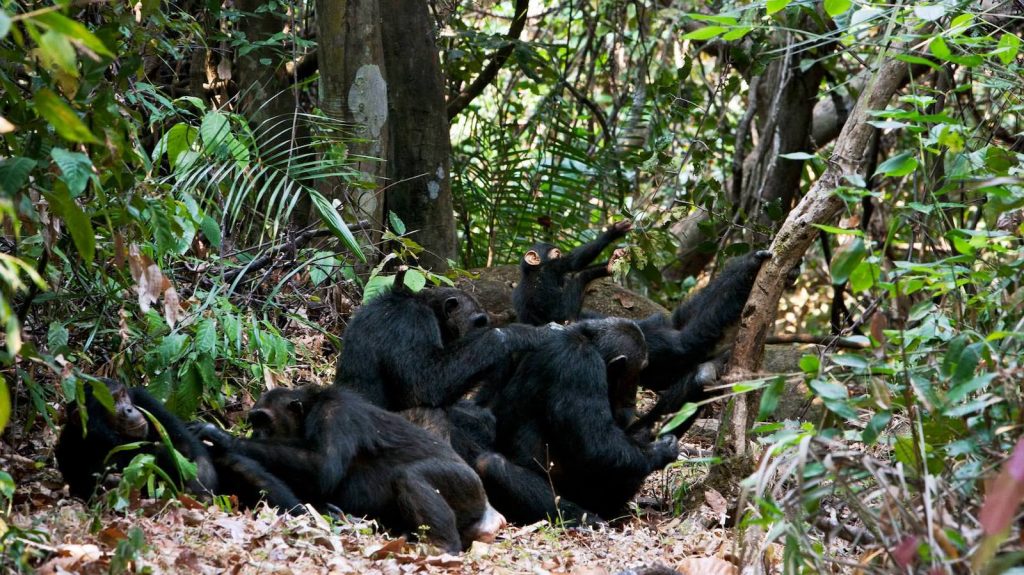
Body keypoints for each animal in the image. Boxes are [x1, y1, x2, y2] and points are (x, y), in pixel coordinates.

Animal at [191, 384, 503, 552]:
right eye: (254, 423)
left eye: (264, 422)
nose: (256, 434)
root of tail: (488, 512)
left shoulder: (337, 414)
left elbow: (322, 469)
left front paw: (223, 438)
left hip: (465, 487)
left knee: (411, 477)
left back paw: (440, 546)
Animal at [333, 282, 544, 409]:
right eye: (479, 322)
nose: (484, 326)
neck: (430, 308)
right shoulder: (411, 321)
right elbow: (425, 383)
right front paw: (519, 334)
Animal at [473, 315, 679, 521]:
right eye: (640, 370)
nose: (635, 394)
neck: (588, 341)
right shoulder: (581, 364)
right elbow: (596, 444)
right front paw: (661, 449)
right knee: (492, 465)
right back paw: (586, 519)